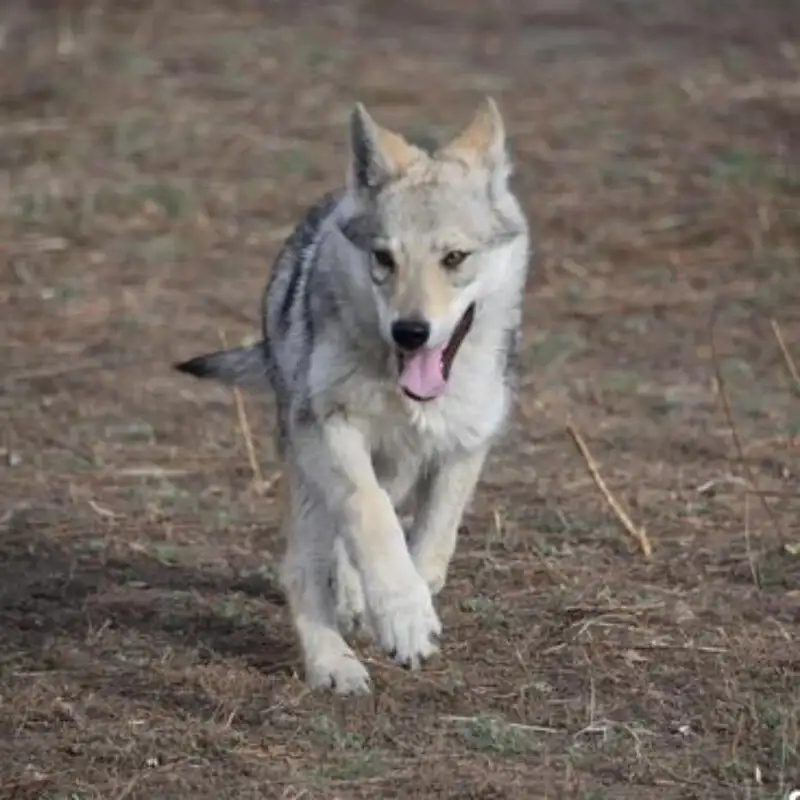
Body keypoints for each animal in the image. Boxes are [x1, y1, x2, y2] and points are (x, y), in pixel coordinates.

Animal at [178, 97, 536, 692]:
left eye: (455, 258)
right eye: (384, 258)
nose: (410, 331)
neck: (406, 396)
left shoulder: (465, 446)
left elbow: (432, 544)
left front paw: (403, 612)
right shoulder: (329, 427)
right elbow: (371, 518)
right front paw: (401, 616)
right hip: (305, 462)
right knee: (304, 567)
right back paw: (333, 663)